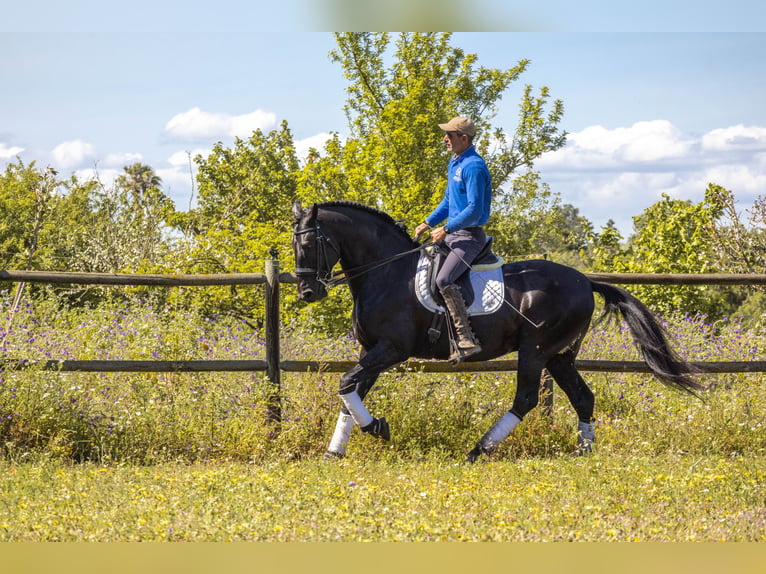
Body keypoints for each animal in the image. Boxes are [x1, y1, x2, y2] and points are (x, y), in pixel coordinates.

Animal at [294, 202, 708, 464]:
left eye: (309, 243)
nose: (307, 293)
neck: (387, 273)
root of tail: (584, 280)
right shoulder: (372, 351)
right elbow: (351, 390)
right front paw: (336, 450)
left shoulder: (391, 349)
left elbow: (347, 383)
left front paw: (376, 428)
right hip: (559, 356)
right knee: (583, 397)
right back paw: (583, 451)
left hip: (535, 350)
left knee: (526, 399)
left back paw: (477, 451)